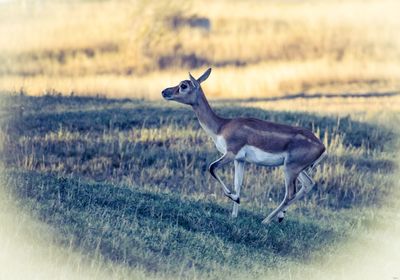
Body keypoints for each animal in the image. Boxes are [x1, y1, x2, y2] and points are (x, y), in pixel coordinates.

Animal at [161, 68, 326, 223]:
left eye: (183, 85)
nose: (164, 92)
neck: (221, 126)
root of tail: (322, 146)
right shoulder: (240, 160)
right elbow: (237, 184)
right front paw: (234, 214)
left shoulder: (231, 153)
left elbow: (211, 167)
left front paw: (234, 197)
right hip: (295, 168)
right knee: (308, 184)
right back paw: (279, 216)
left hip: (290, 168)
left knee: (290, 193)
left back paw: (265, 220)